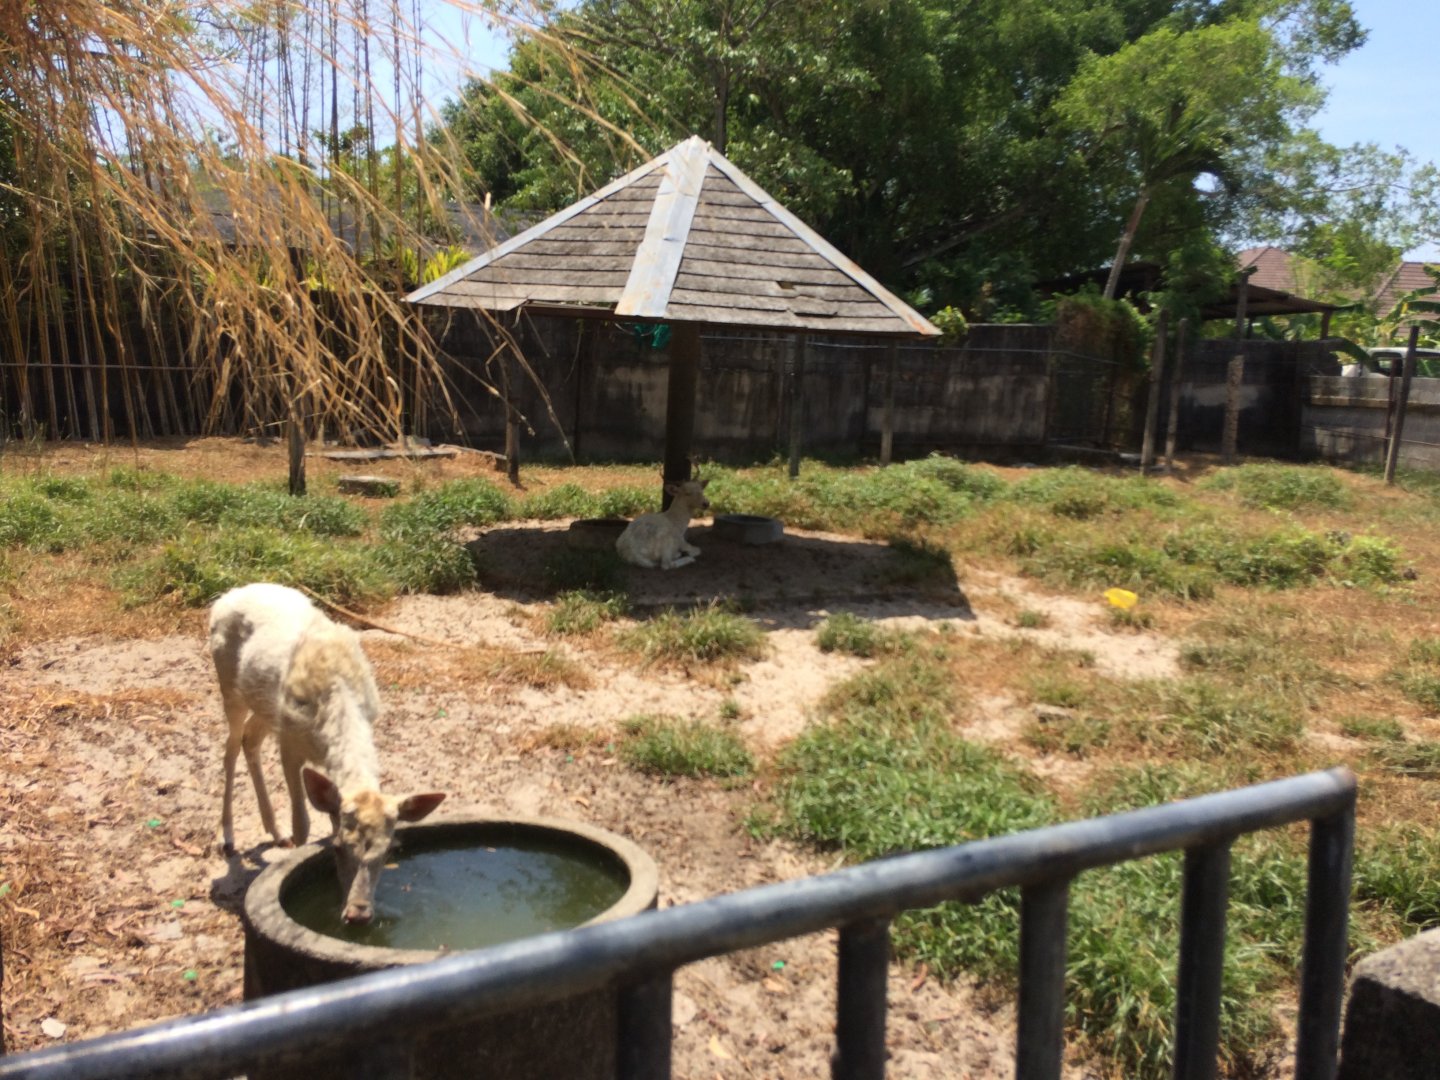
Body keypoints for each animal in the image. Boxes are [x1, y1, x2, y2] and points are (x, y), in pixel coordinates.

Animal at [209, 582, 446, 924]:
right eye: (339, 848)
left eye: (389, 851)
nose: (359, 914)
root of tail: (226, 597)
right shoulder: (290, 745)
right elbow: (303, 824)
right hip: (229, 684)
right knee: (230, 748)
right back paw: (226, 838)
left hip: (266, 707)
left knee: (250, 740)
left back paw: (276, 832)